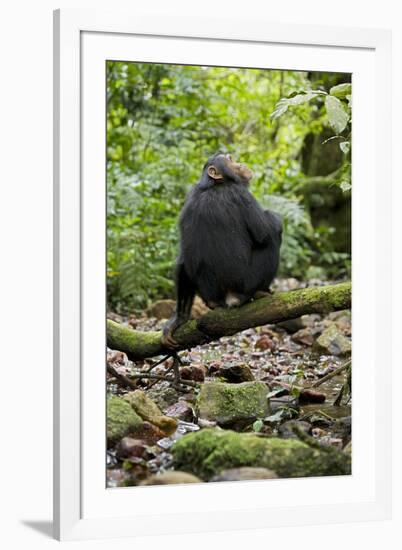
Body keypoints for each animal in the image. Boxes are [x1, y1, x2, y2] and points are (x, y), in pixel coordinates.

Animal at [162, 152, 282, 350]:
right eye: (230, 159)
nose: (240, 163)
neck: (214, 185)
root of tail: (228, 296)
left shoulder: (189, 200)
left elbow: (183, 257)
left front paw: (179, 319)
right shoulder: (241, 194)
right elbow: (266, 232)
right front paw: (273, 220)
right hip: (248, 282)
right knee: (271, 240)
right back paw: (261, 292)